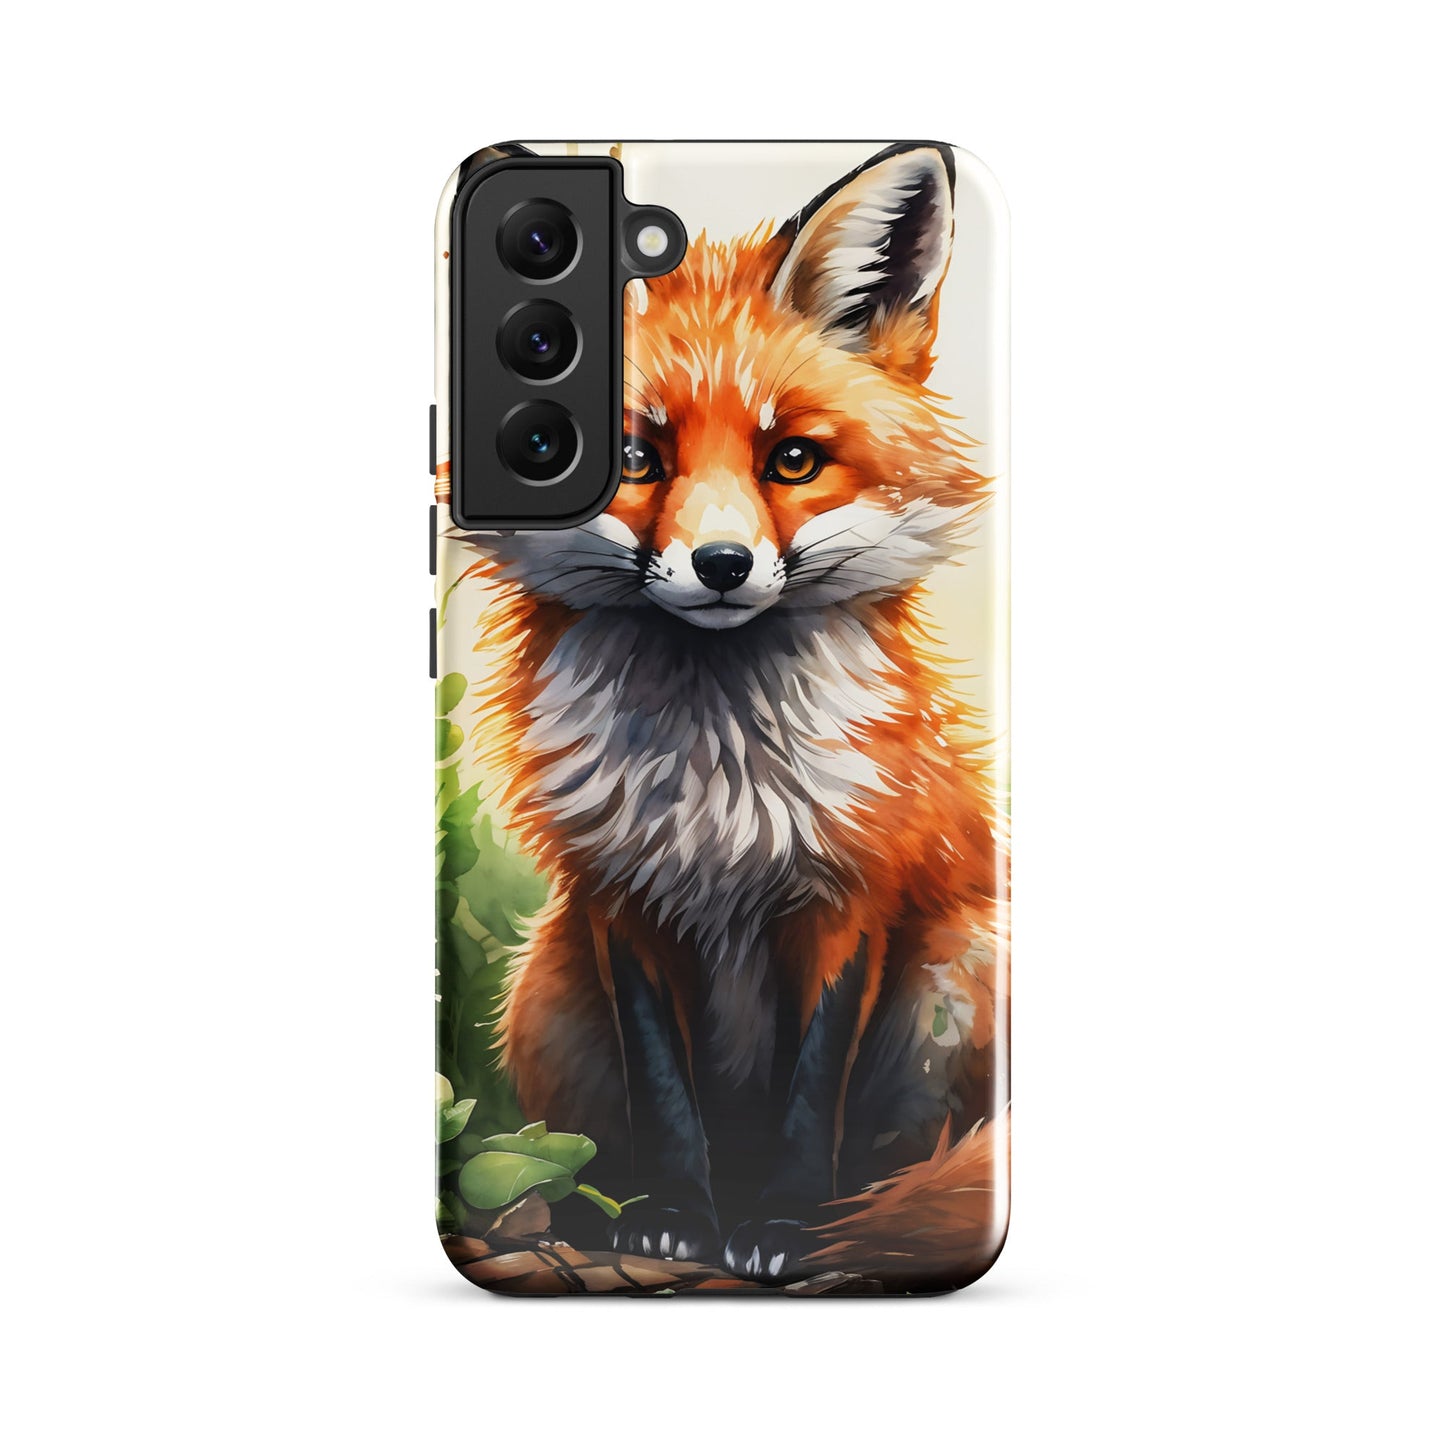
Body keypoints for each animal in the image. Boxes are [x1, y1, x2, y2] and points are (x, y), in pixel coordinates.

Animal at [457, 143, 1008, 1288]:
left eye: (790, 458)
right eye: (633, 457)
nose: (720, 564)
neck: (719, 787)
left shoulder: (852, 893)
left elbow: (810, 1093)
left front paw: (785, 1224)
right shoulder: (619, 897)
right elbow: (665, 1092)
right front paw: (672, 1214)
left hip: (960, 966)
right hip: (545, 983)